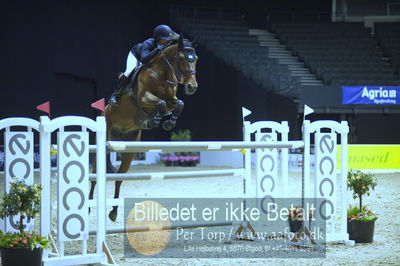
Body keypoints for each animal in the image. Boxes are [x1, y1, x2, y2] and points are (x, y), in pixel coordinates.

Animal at [89, 34, 198, 221]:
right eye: (182, 58)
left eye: (195, 59)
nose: (192, 86)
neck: (162, 73)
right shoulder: (142, 98)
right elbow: (160, 103)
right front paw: (154, 120)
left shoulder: (171, 99)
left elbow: (178, 104)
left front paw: (165, 122)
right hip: (104, 139)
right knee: (95, 178)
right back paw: (88, 207)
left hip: (129, 150)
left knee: (119, 178)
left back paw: (113, 212)